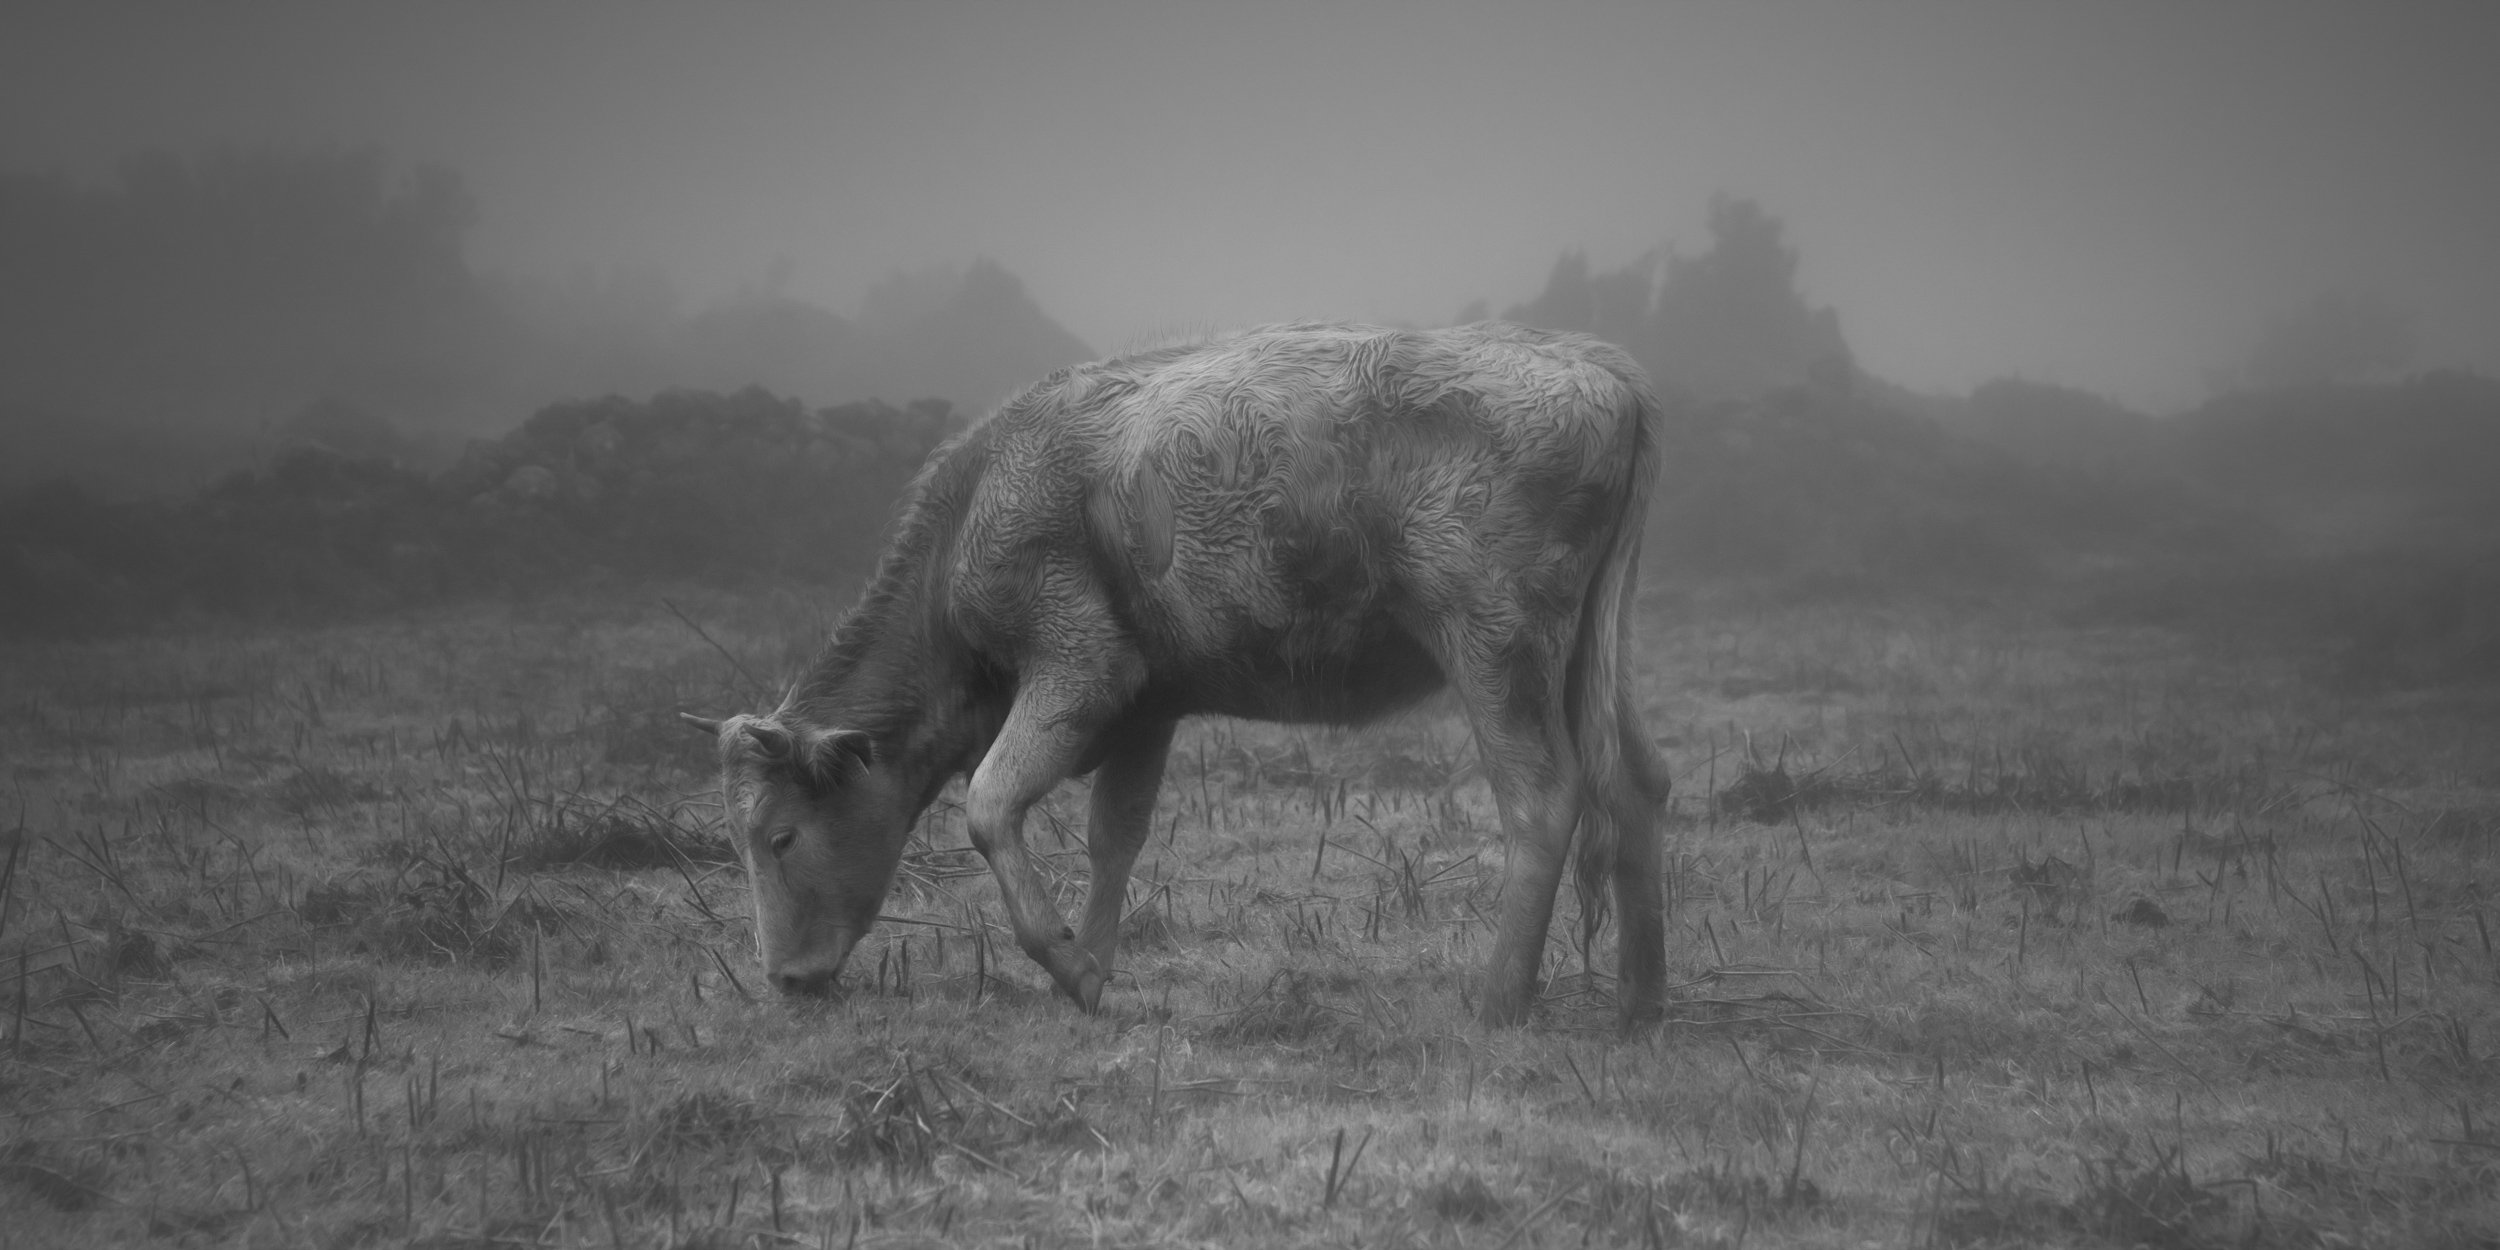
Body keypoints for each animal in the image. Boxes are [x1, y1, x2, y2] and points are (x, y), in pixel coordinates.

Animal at [682, 321, 1670, 1028]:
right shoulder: (1146, 708)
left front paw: (1068, 963)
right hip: (1588, 660)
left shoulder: (1081, 669)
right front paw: (1094, 972)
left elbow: (991, 803)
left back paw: (1499, 1003)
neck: (978, 507)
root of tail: (1596, 367)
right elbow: (1113, 836)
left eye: (779, 835)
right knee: (1636, 784)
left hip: (1497, 650)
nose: (786, 979)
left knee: (1544, 801)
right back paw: (1640, 1000)